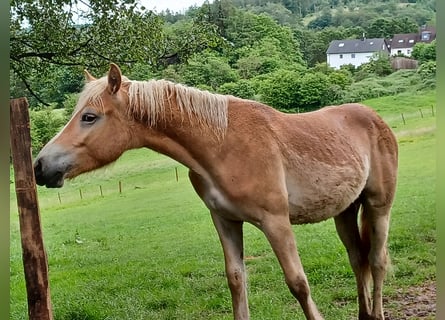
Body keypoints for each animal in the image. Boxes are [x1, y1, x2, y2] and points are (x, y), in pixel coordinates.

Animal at [33, 63, 398, 320]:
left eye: (89, 117)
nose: (40, 166)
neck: (222, 144)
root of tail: (374, 117)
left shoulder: (276, 222)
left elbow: (298, 283)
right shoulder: (225, 220)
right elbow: (236, 280)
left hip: (379, 206)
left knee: (377, 260)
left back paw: (378, 313)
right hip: (345, 211)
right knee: (358, 260)